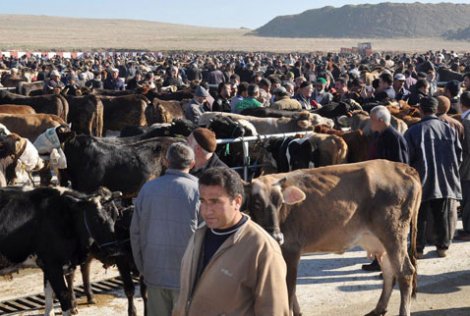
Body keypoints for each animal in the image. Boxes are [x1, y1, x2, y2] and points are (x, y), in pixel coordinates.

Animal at [0, 185, 123, 316]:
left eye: (116, 215)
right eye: (97, 218)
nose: (114, 250)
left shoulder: (47, 264)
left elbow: (49, 292)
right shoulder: (52, 264)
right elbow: (63, 295)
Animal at [244, 160, 420, 316]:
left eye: (280, 203)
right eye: (257, 203)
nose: (276, 236)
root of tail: (402, 167)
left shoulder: (291, 250)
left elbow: (288, 292)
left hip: (394, 233)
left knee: (405, 272)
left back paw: (402, 311)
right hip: (378, 240)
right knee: (389, 272)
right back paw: (379, 309)